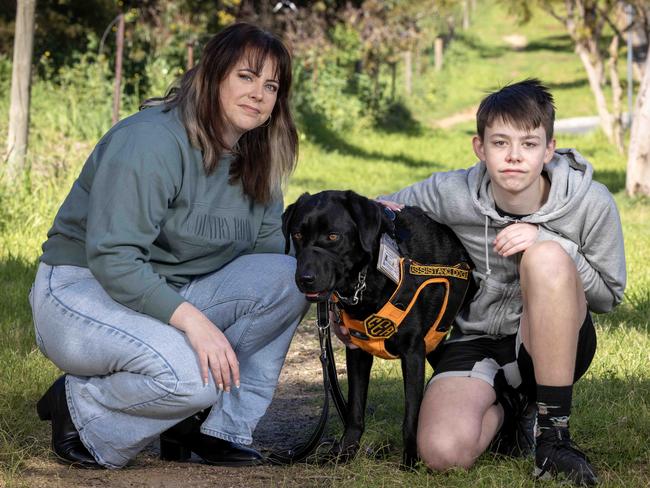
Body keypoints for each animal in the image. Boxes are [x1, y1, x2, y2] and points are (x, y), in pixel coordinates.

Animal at [282, 190, 470, 466]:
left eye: (333, 236)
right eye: (297, 235)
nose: (304, 279)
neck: (368, 278)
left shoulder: (413, 353)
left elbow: (411, 417)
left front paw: (410, 462)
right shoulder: (357, 352)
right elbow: (354, 411)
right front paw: (346, 453)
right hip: (436, 341)